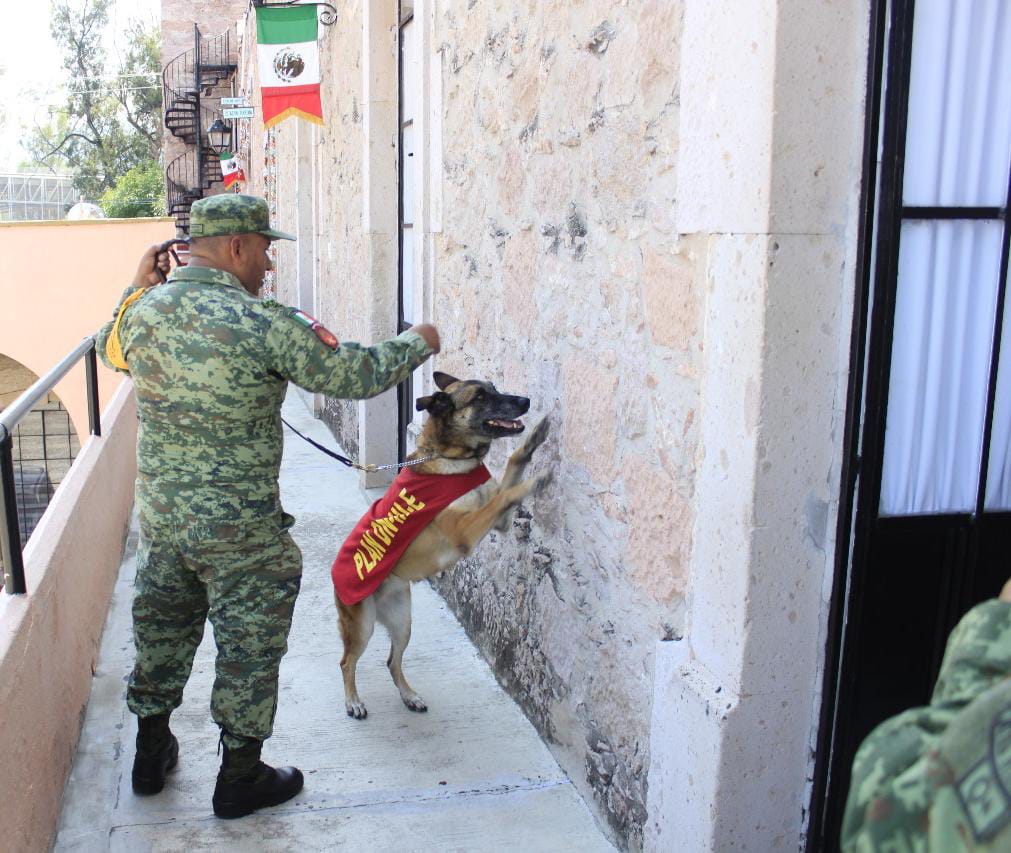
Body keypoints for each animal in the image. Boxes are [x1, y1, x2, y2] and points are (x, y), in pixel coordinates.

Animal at [335, 369, 549, 715]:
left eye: (494, 388)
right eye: (480, 397)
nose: (525, 401)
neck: (454, 460)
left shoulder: (499, 521)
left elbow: (512, 465)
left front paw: (533, 441)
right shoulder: (466, 531)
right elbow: (503, 495)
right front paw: (536, 481)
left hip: (403, 621)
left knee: (392, 661)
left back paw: (409, 695)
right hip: (362, 625)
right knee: (347, 662)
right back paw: (353, 701)